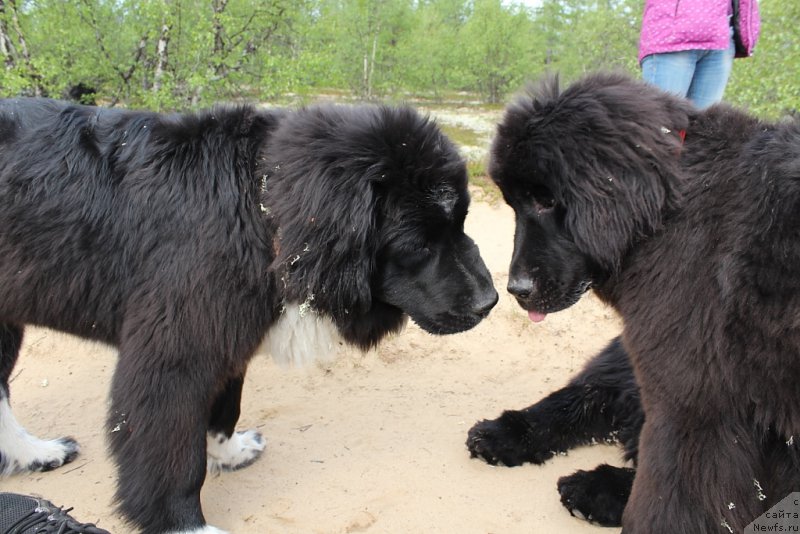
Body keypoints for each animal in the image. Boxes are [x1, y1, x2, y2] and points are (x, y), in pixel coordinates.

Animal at [0, 98, 496, 532]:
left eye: (462, 222)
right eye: (417, 244)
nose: (489, 301)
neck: (257, 208)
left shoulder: (229, 330)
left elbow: (225, 407)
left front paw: (231, 453)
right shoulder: (176, 350)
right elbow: (172, 453)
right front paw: (185, 524)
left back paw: (35, 454)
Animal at [466, 72, 800, 534]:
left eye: (547, 200)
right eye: (514, 203)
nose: (515, 290)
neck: (669, 210)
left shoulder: (693, 404)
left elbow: (674, 499)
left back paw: (595, 489)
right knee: (589, 394)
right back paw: (506, 434)